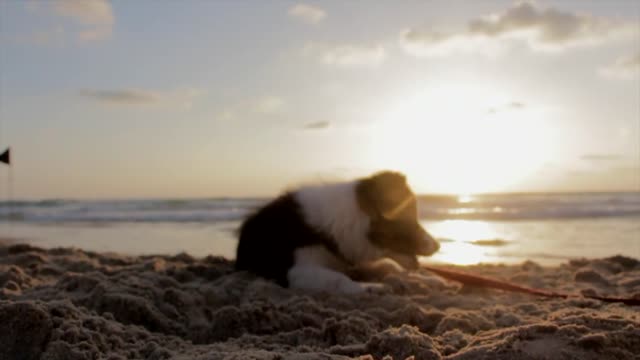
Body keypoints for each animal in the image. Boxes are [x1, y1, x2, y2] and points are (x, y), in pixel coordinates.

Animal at [235, 171, 440, 292]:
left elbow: (392, 268)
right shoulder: (296, 271)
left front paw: (426, 279)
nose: (438, 245)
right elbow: (340, 279)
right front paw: (370, 288)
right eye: (410, 220)